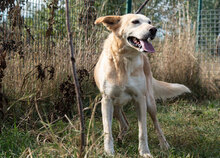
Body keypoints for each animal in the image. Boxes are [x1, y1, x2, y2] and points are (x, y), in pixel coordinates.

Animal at [93, 14, 190, 157]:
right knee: (125, 124)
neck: (125, 59)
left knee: (156, 123)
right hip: (115, 106)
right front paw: (109, 152)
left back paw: (164, 144)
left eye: (149, 22)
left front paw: (144, 152)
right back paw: (120, 138)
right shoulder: (106, 100)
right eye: (135, 21)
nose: (154, 29)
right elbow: (107, 130)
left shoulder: (140, 99)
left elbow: (142, 131)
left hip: (150, 102)